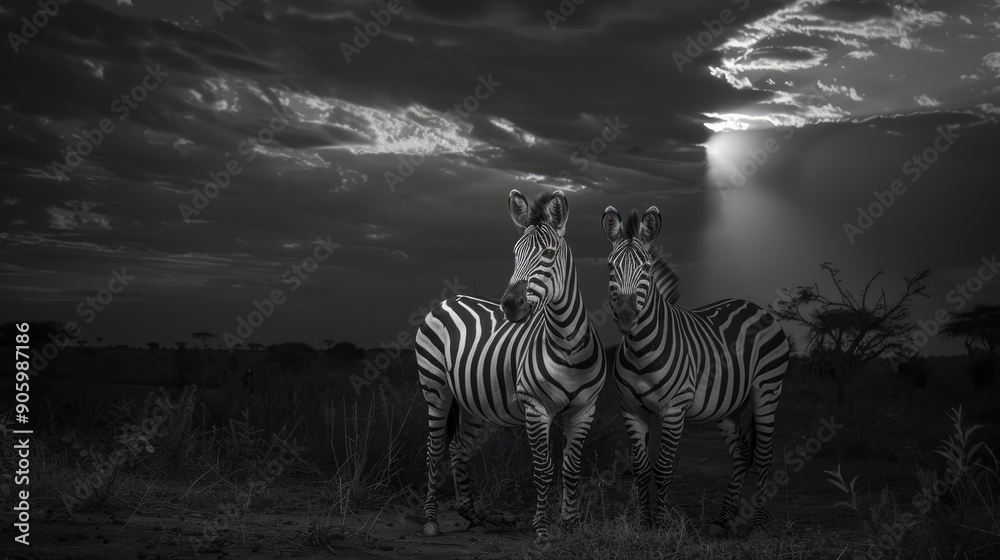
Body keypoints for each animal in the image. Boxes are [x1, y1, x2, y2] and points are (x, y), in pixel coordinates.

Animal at [415, 189, 606, 542]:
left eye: (549, 253)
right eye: (515, 254)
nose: (510, 305)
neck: (567, 345)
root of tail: (449, 299)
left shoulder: (585, 409)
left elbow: (571, 468)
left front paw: (571, 526)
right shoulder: (536, 407)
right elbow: (544, 469)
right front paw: (542, 530)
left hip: (472, 401)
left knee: (458, 447)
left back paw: (470, 512)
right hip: (436, 389)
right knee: (433, 450)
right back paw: (431, 519)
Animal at [601, 205, 789, 534]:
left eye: (646, 269)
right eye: (611, 267)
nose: (625, 317)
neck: (640, 350)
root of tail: (753, 306)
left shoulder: (674, 409)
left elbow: (663, 468)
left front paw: (662, 526)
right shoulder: (630, 409)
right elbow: (640, 468)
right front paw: (643, 522)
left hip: (767, 389)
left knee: (764, 455)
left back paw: (758, 522)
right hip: (729, 405)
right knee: (742, 454)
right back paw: (723, 518)